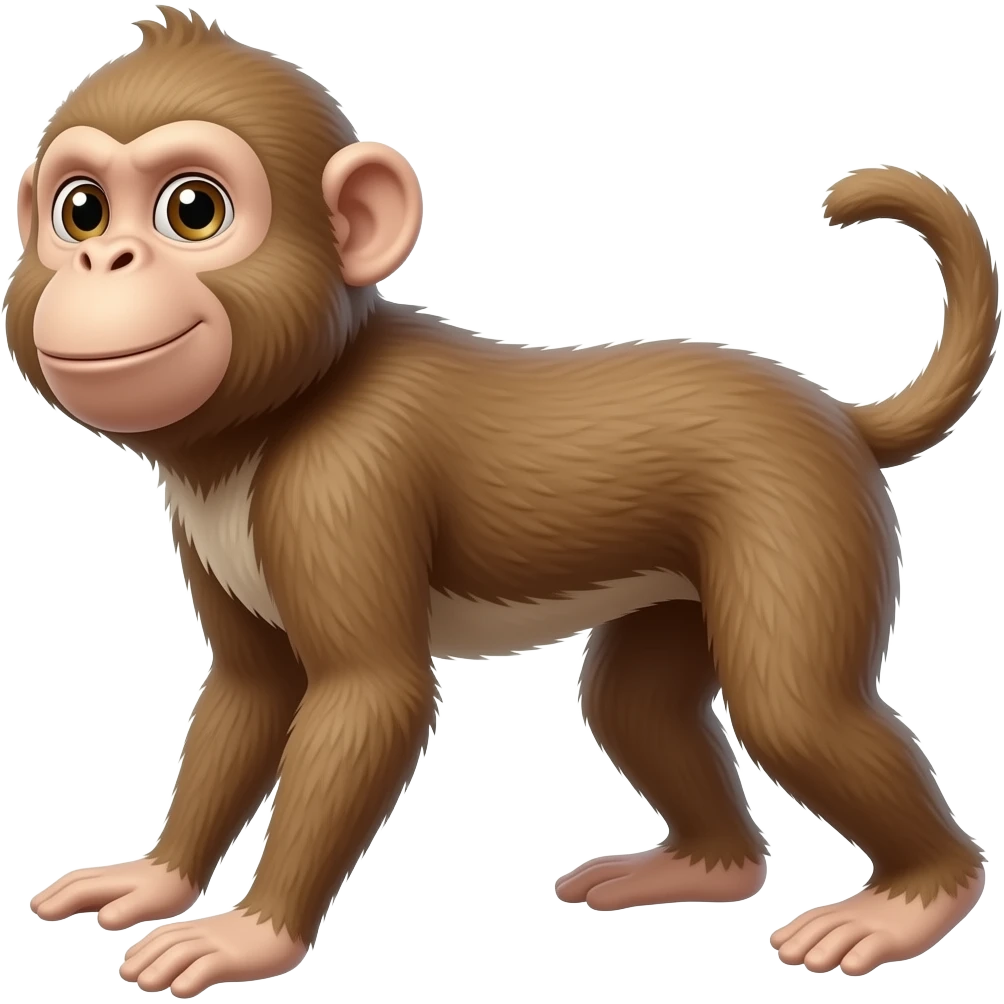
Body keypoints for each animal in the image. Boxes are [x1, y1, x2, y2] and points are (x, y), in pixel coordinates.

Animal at [7, 6, 998, 996]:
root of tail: (837, 417)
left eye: (193, 211)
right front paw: (156, 877)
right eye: (81, 209)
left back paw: (916, 897)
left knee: (795, 710)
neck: (275, 415)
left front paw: (252, 934)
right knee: (634, 707)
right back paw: (702, 866)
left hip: (799, 512)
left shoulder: (346, 481)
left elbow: (371, 695)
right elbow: (249, 692)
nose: (102, 259)